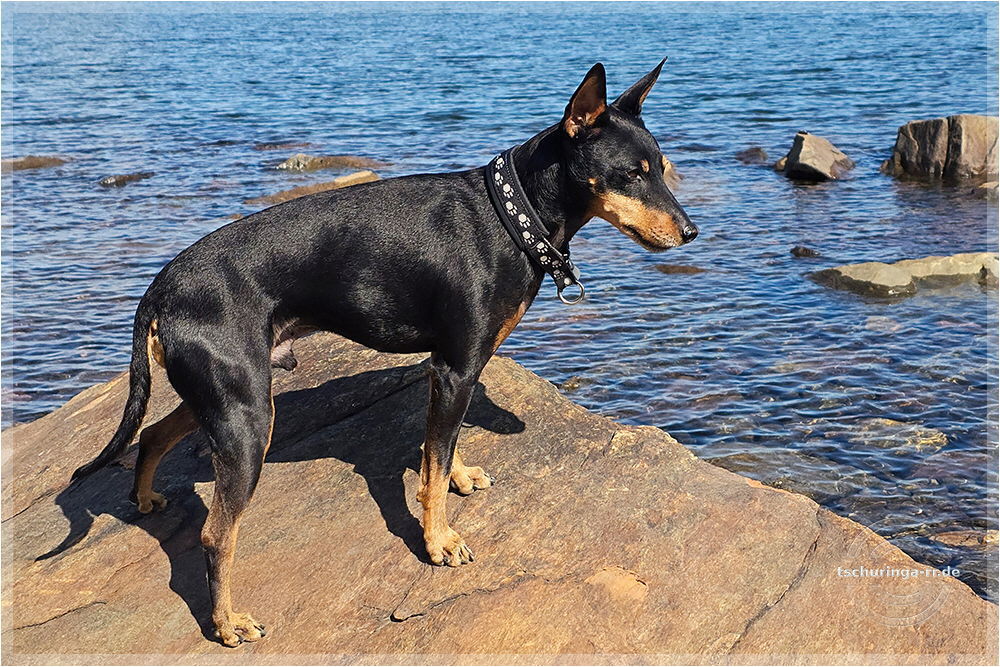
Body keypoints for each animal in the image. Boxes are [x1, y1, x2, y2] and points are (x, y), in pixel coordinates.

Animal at [69, 60, 696, 646]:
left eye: (664, 168)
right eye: (631, 175)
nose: (691, 232)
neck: (508, 217)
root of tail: (161, 288)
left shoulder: (454, 372)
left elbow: (440, 449)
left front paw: (460, 478)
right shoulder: (455, 368)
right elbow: (432, 468)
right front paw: (439, 542)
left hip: (226, 396)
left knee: (152, 433)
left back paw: (145, 499)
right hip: (247, 418)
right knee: (215, 533)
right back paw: (227, 624)